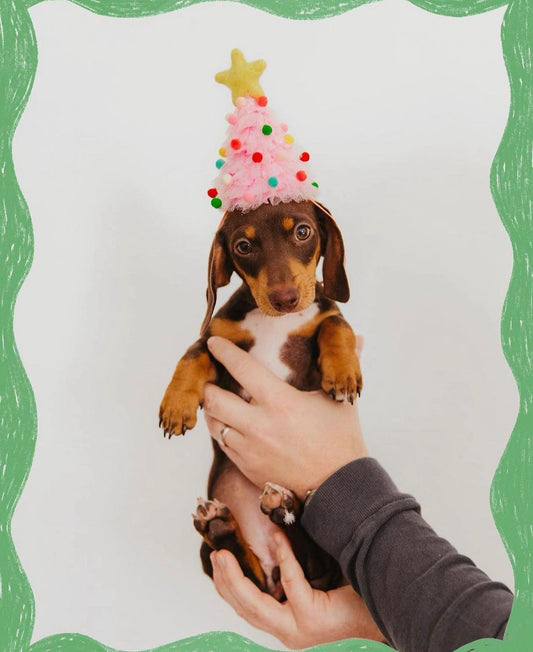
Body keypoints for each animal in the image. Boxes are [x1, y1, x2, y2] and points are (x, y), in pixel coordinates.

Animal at [159, 198, 362, 600]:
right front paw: (176, 405)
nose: (285, 299)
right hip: (215, 558)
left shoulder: (324, 320)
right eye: (243, 246)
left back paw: (282, 509)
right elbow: (192, 354)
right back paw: (223, 526)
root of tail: (277, 576)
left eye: (303, 231)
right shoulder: (216, 342)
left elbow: (336, 324)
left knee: (313, 562)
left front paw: (343, 372)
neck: (274, 323)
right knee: (250, 570)